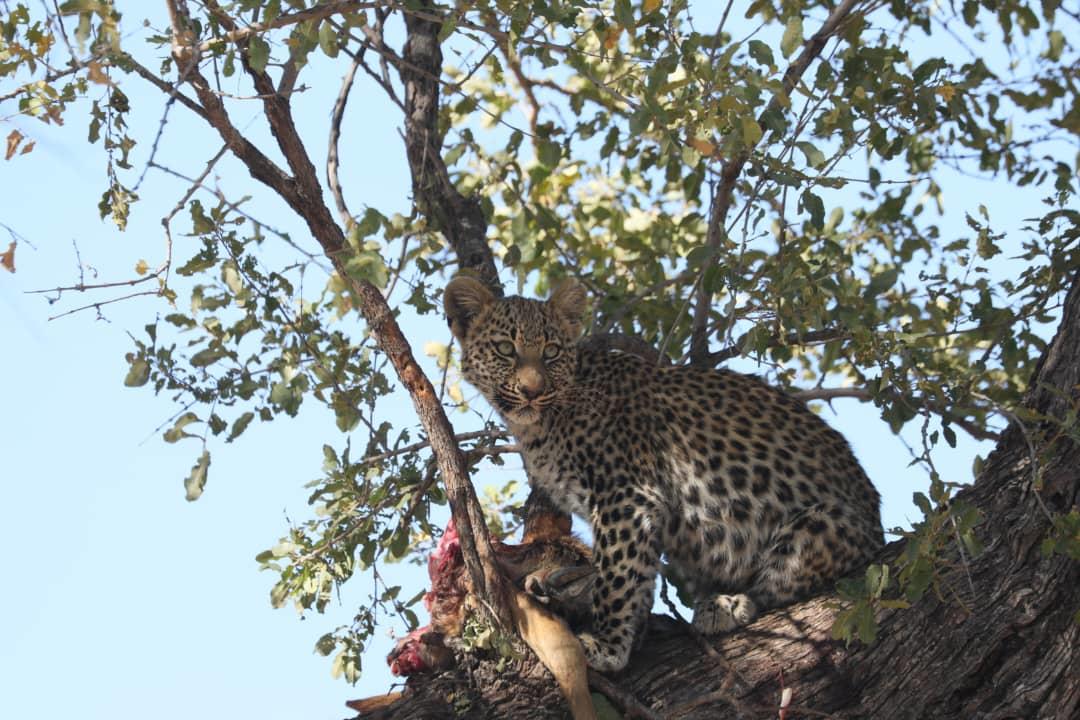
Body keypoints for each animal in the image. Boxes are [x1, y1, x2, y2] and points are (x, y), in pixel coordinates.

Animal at [443, 275, 884, 672]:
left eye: (551, 352)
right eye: (505, 349)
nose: (533, 391)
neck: (543, 422)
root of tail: (877, 529)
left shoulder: (626, 497)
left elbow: (616, 577)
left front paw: (607, 645)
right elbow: (635, 576)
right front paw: (631, 634)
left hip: (820, 524)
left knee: (779, 587)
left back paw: (728, 605)